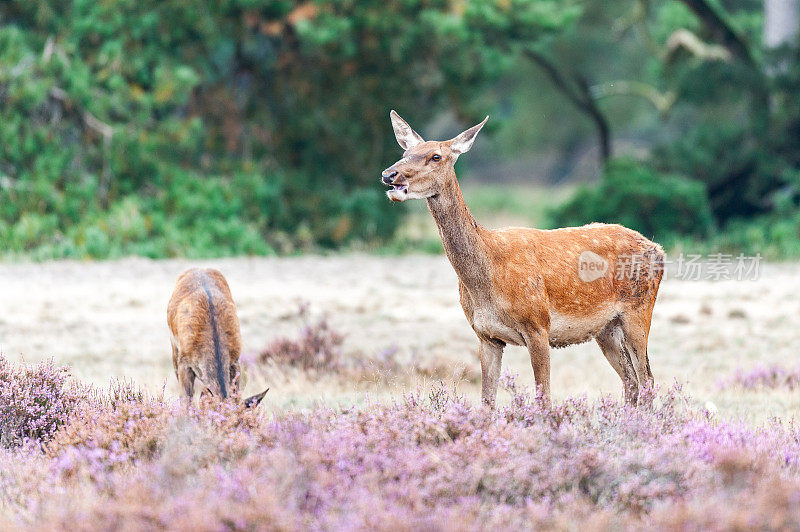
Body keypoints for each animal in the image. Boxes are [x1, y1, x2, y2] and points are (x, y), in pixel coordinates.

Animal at [382, 110, 664, 406]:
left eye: (436, 156)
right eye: (406, 151)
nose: (389, 175)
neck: (487, 277)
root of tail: (658, 249)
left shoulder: (538, 325)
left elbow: (544, 398)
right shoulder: (485, 335)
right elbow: (487, 402)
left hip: (638, 310)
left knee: (647, 378)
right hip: (606, 328)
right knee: (630, 381)